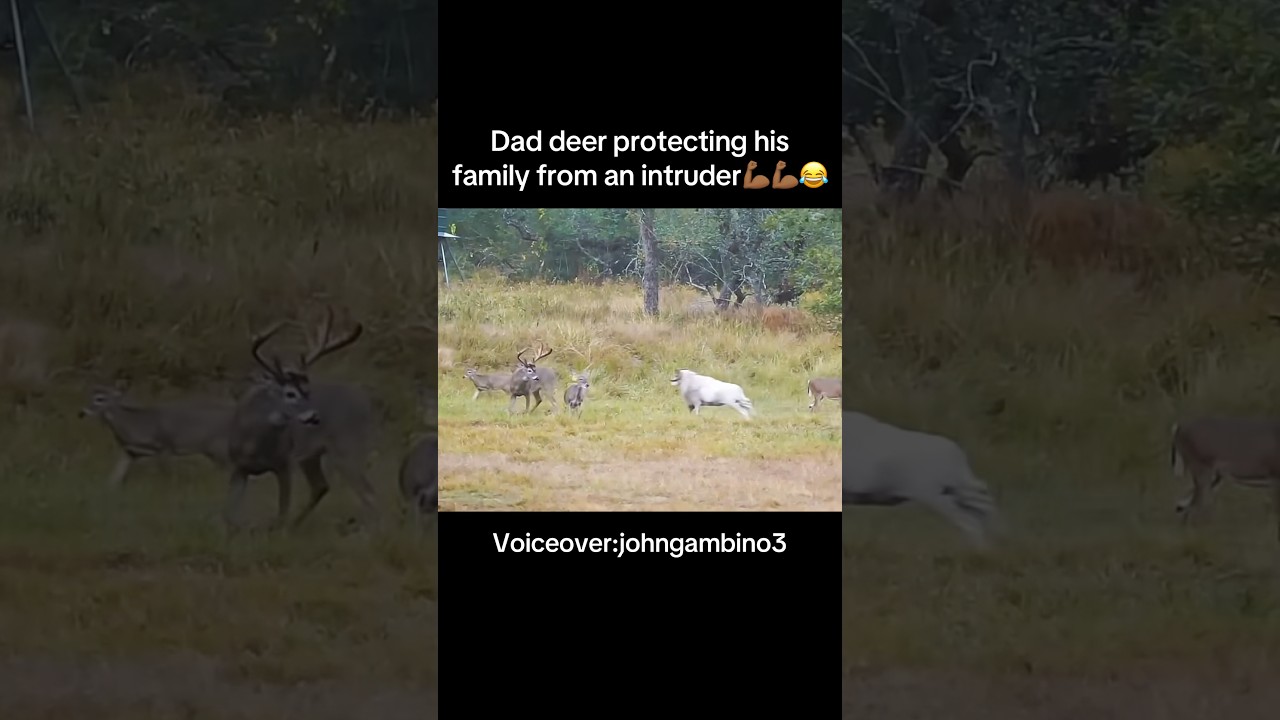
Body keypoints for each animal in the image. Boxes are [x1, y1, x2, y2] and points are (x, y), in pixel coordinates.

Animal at [79, 383, 235, 487]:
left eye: (100, 399)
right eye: (91, 396)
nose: (82, 412)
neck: (135, 425)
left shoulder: (165, 447)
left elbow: (165, 477)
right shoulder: (129, 451)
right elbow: (115, 477)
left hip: (221, 448)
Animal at [224, 307, 379, 533]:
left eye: (307, 390)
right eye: (290, 393)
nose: (315, 416)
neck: (253, 443)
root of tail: (365, 400)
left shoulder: (285, 464)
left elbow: (282, 510)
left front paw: (278, 532)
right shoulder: (238, 466)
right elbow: (229, 515)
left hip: (348, 446)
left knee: (369, 493)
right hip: (312, 456)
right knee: (321, 486)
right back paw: (296, 525)